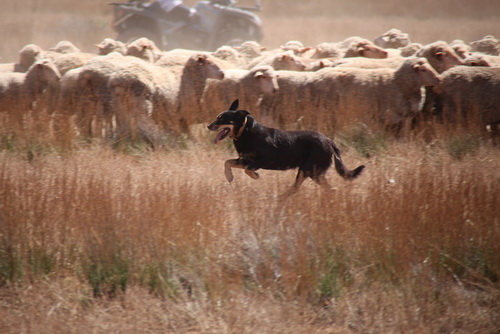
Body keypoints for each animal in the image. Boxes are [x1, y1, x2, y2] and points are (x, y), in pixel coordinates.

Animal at [206, 100, 364, 193]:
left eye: (222, 119)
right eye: (217, 117)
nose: (208, 126)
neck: (246, 132)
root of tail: (329, 141)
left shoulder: (263, 160)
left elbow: (247, 170)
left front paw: (255, 176)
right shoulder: (244, 159)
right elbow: (227, 162)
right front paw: (229, 176)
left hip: (307, 170)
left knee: (298, 187)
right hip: (313, 172)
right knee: (324, 189)